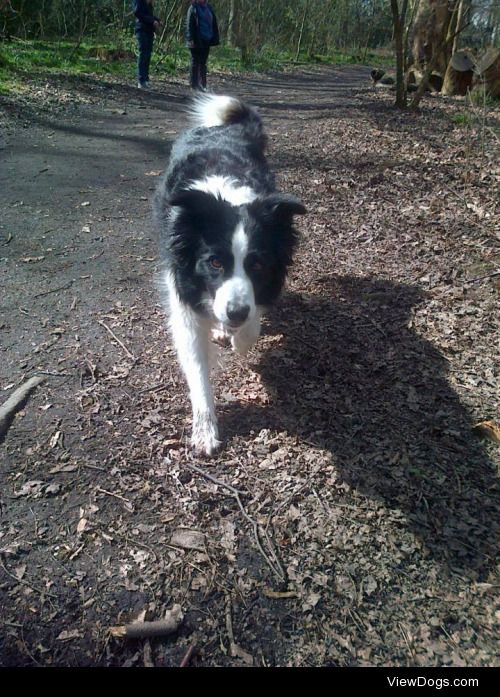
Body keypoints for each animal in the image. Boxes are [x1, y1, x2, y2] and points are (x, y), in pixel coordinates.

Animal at [154, 95, 306, 454]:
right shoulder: (184, 294)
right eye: (214, 263)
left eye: (258, 265)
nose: (235, 313)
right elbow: (196, 365)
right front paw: (205, 430)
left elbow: (252, 326)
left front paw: (239, 339)